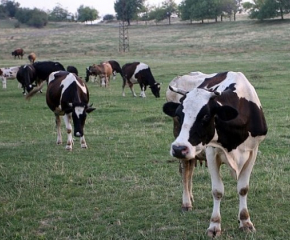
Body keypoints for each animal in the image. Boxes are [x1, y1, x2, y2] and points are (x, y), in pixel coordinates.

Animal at [163, 71, 268, 236]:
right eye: (179, 115)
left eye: (206, 116)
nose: (178, 148)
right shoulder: (211, 152)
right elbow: (217, 191)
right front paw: (214, 225)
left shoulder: (253, 152)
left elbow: (243, 188)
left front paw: (245, 222)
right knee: (185, 172)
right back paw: (186, 202)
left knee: (190, 171)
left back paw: (191, 197)